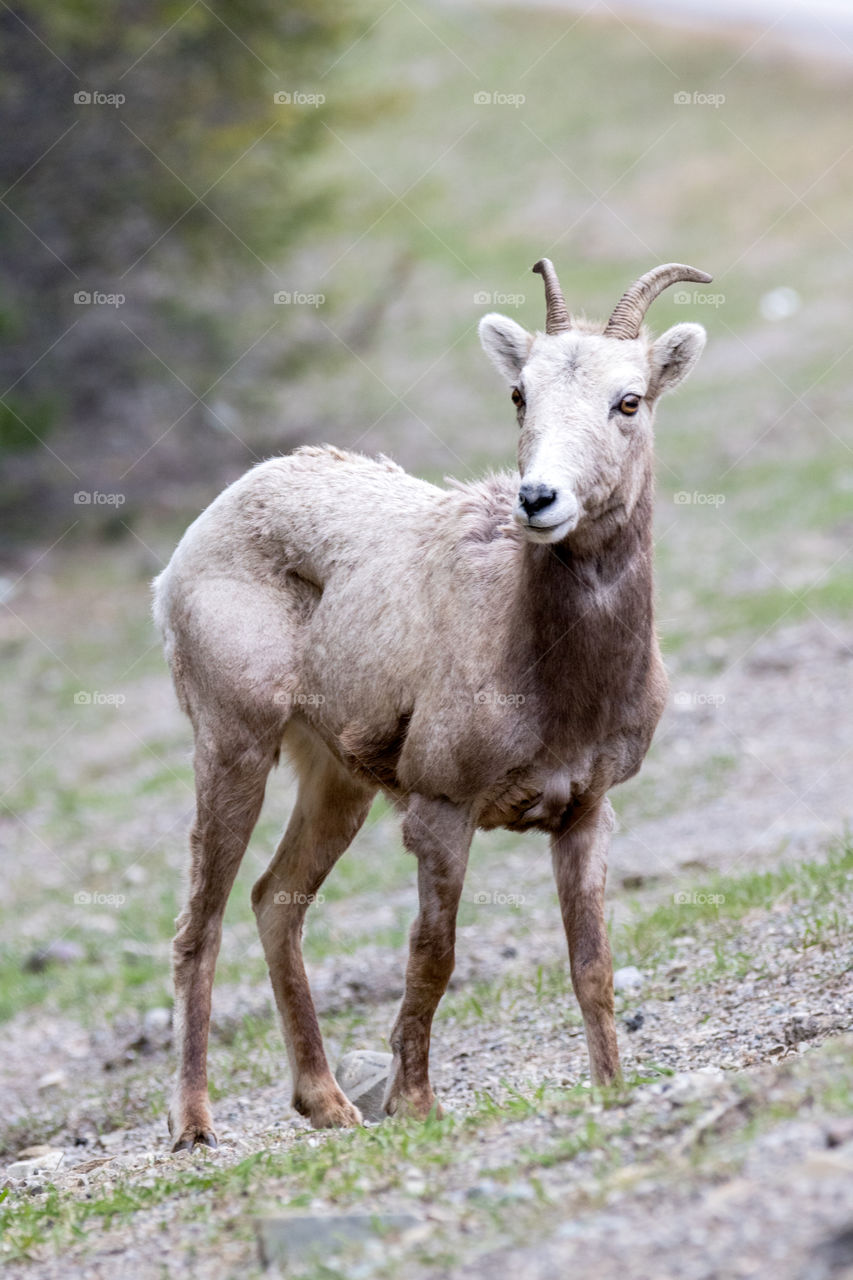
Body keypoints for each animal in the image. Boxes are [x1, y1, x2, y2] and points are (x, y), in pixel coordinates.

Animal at [154, 257, 712, 1152]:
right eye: (519, 393)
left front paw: (610, 1086)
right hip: (233, 747)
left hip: (334, 783)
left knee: (275, 901)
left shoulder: (585, 814)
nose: (538, 499)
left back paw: (328, 1105)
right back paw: (195, 1127)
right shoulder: (442, 812)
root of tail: (195, 542)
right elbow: (432, 956)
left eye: (629, 400)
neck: (550, 674)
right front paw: (414, 1106)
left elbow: (590, 962)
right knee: (198, 927)